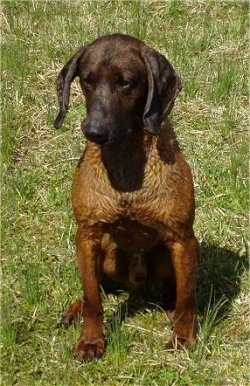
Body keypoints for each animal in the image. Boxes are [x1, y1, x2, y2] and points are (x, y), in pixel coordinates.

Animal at [54, 34, 199, 362]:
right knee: (95, 288)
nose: (93, 130)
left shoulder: (182, 238)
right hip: (104, 251)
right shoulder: (88, 236)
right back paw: (75, 309)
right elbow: (93, 299)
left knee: (175, 289)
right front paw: (91, 340)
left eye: (126, 83)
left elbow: (187, 297)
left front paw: (184, 336)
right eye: (87, 80)